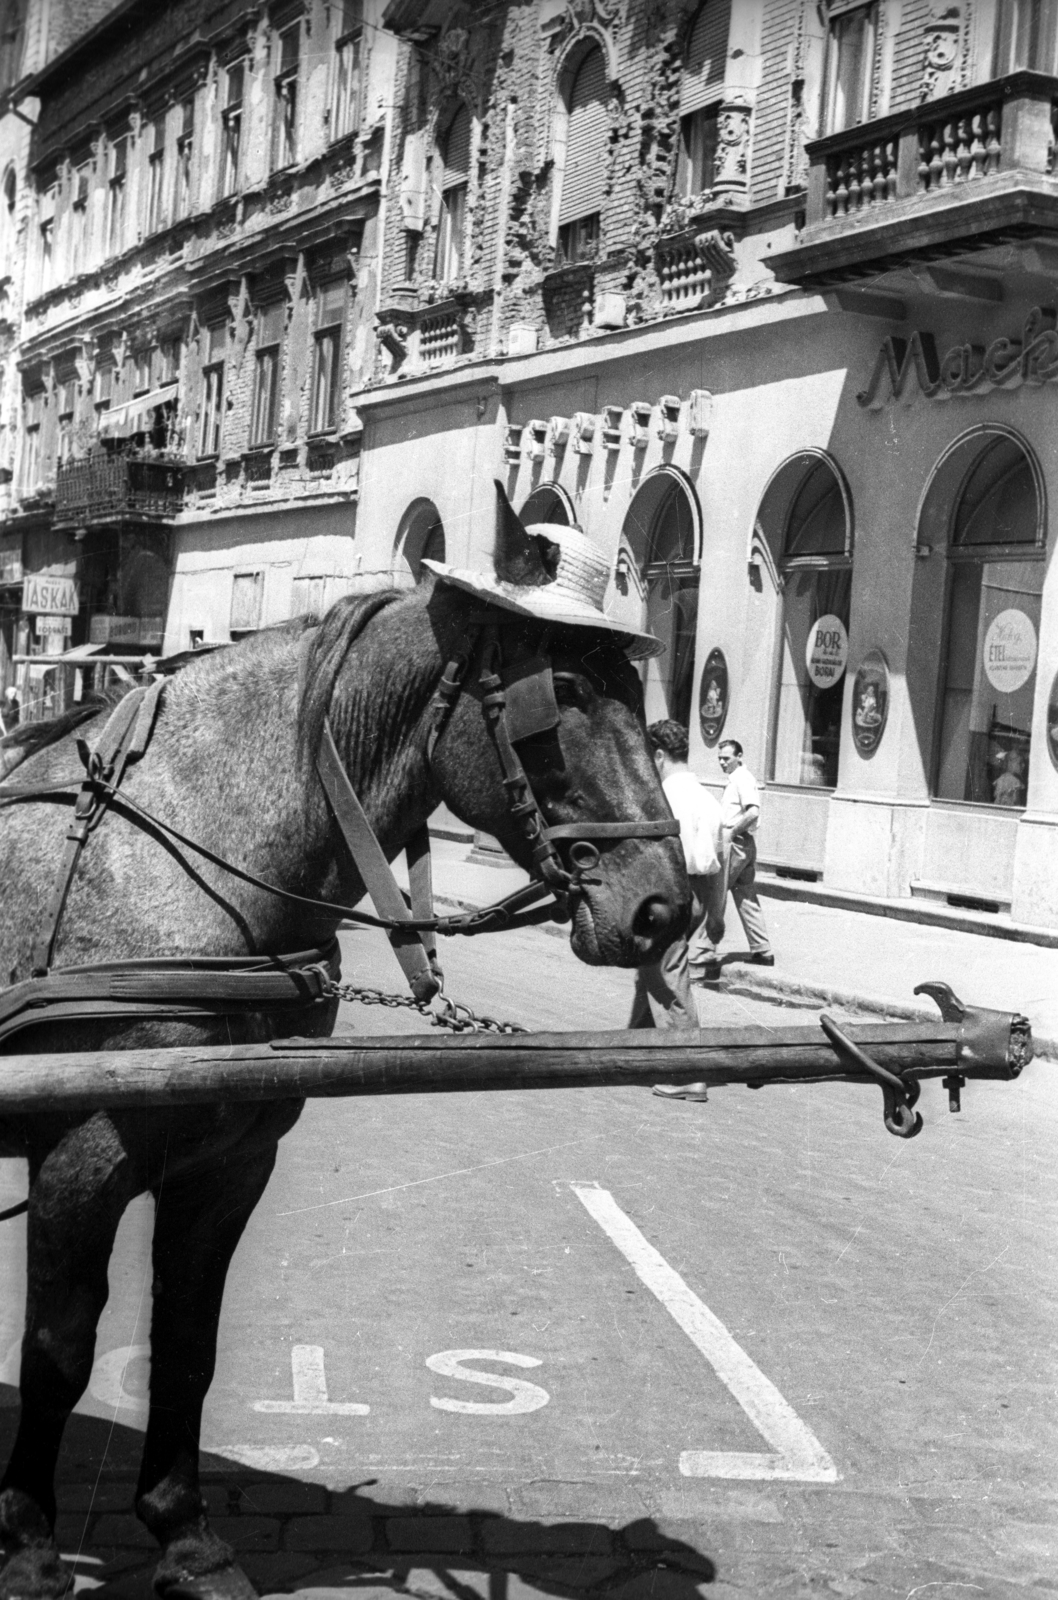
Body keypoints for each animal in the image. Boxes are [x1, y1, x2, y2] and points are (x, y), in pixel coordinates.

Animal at [0, 486, 688, 1600]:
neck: (183, 855)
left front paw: (185, 1536)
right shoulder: (81, 1152)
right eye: (568, 691)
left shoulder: (230, 1157)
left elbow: (186, 1343)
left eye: (643, 697)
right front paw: (26, 1543)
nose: (667, 906)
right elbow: (57, 1351)